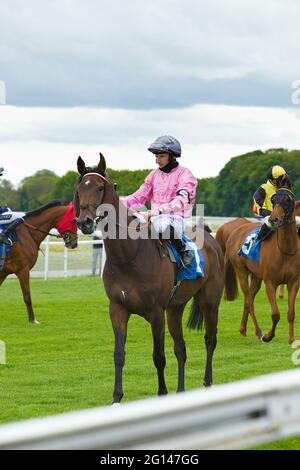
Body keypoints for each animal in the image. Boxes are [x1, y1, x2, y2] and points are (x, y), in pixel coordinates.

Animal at [74, 155, 225, 404]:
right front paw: (116, 398)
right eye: (79, 189)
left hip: (209, 301)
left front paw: (162, 393)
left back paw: (207, 383)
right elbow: (119, 354)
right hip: (175, 309)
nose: (84, 222)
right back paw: (181, 390)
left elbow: (158, 356)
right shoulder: (118, 308)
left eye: (99, 187)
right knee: (181, 348)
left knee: (210, 339)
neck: (128, 256)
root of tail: (212, 240)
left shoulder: (155, 312)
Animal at [224, 185, 298, 344]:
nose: (274, 219)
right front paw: (268, 335)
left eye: (287, 199)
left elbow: (291, 313)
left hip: (256, 277)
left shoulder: (294, 282)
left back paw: (243, 329)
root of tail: (234, 232)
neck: (285, 250)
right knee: (249, 301)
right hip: (241, 271)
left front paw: (292, 339)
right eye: (274, 200)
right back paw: (258, 332)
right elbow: (275, 314)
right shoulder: (270, 282)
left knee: (249, 298)